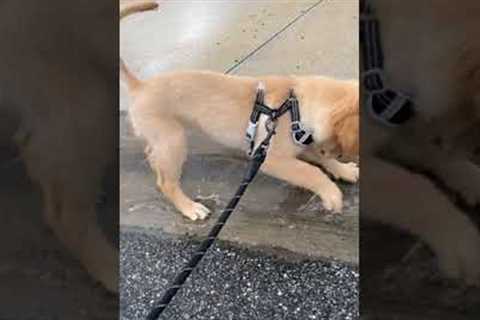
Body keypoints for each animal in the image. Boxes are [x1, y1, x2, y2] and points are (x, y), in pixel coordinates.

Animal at [122, 1, 358, 221]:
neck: (296, 105)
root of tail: (140, 86)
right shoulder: (269, 157)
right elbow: (310, 171)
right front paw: (331, 193)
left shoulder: (303, 141)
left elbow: (320, 156)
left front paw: (343, 169)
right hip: (173, 141)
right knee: (166, 182)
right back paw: (189, 207)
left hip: (164, 140)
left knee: (153, 155)